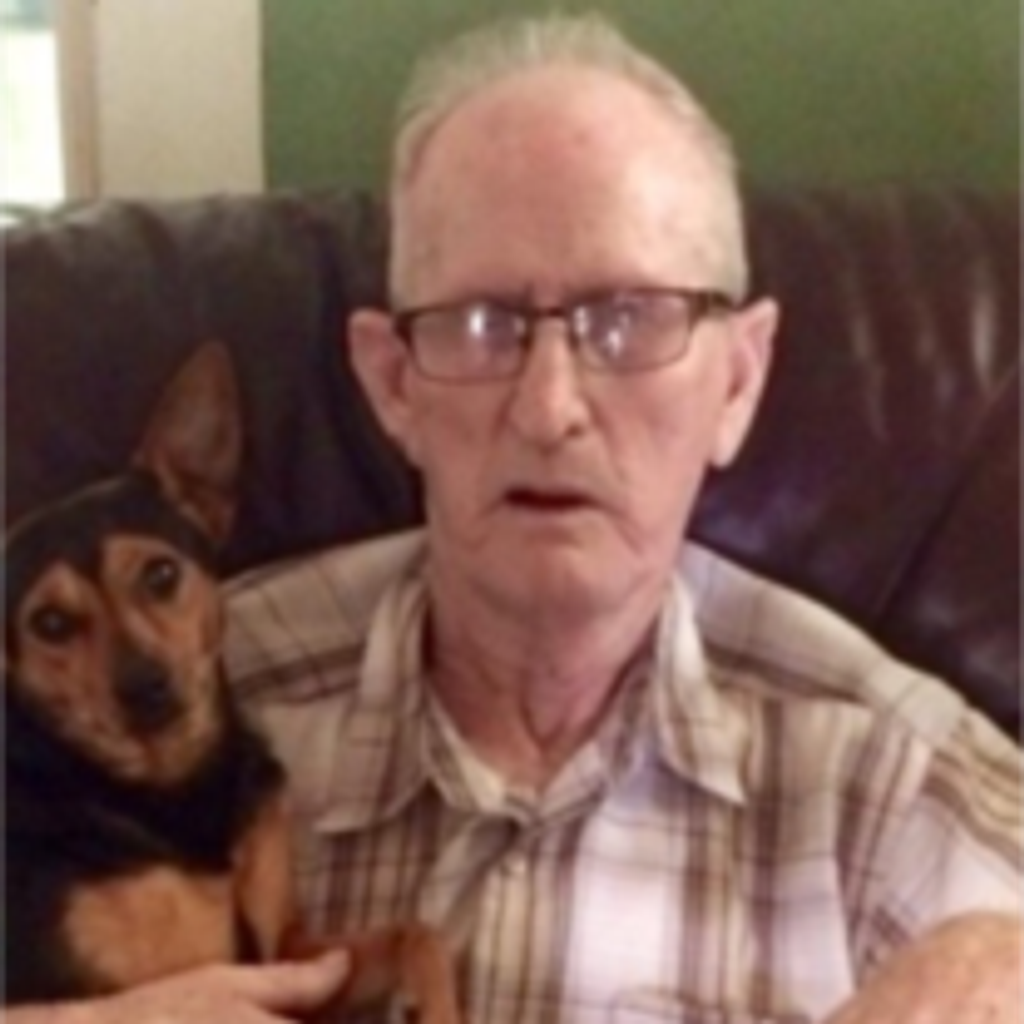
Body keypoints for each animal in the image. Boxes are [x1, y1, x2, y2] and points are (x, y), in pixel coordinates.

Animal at [0, 343, 459, 1023]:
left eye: (161, 574)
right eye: (49, 624)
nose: (145, 687)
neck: (175, 788)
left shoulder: (291, 949)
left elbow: (417, 932)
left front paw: (439, 1003)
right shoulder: (141, 988)